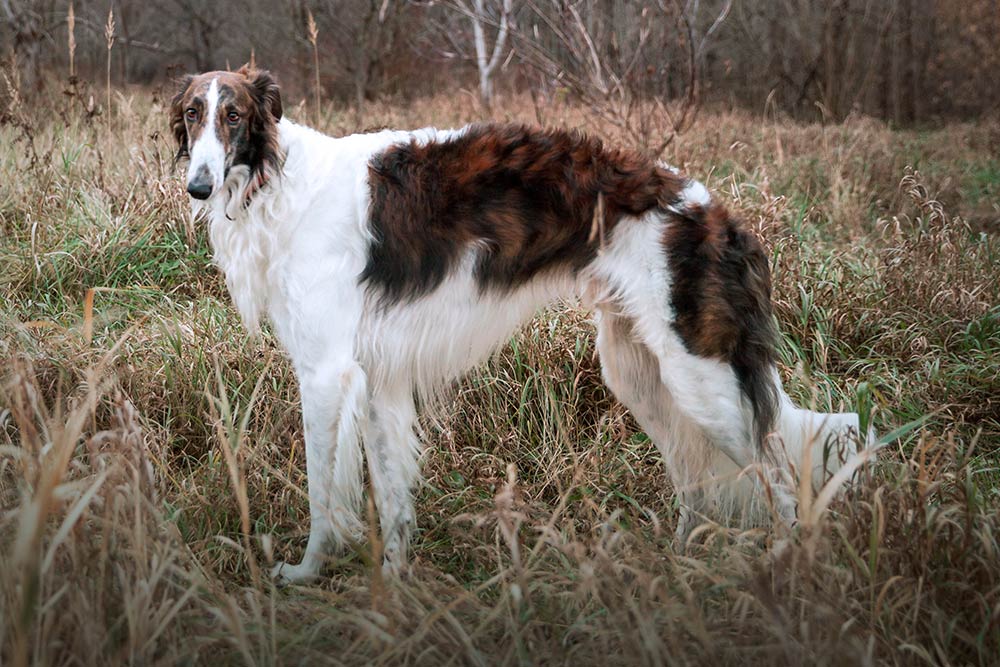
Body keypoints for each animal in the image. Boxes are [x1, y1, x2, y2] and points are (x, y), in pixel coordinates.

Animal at [170, 65, 868, 580]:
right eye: (191, 114)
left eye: (233, 115)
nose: (198, 186)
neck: (281, 183)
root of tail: (715, 212)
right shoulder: (377, 379)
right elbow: (392, 497)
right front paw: (394, 583)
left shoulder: (325, 372)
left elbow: (324, 491)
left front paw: (305, 572)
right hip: (641, 372)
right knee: (696, 482)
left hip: (703, 380)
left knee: (780, 480)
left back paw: (783, 570)